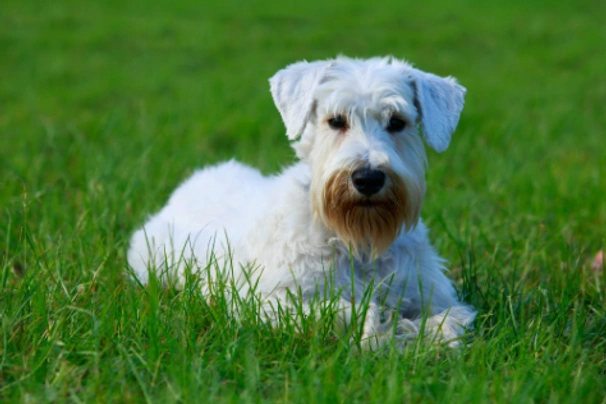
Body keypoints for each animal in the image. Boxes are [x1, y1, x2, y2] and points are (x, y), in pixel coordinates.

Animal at [129, 56, 480, 348]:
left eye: (396, 122)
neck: (357, 239)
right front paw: (384, 333)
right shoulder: (265, 300)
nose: (368, 178)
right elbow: (351, 311)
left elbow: (450, 322)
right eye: (336, 121)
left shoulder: (436, 295)